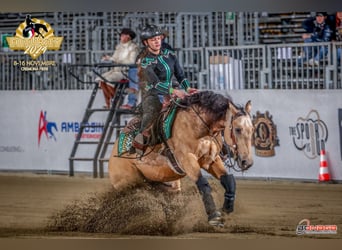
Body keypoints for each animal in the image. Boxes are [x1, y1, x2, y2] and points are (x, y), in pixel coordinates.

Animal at [107, 90, 254, 227]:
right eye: (238, 129)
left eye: (252, 129)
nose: (247, 162)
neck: (198, 126)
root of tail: (112, 156)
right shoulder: (187, 160)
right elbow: (203, 183)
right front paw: (214, 216)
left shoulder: (210, 160)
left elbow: (228, 180)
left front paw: (226, 209)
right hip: (128, 183)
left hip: (165, 184)